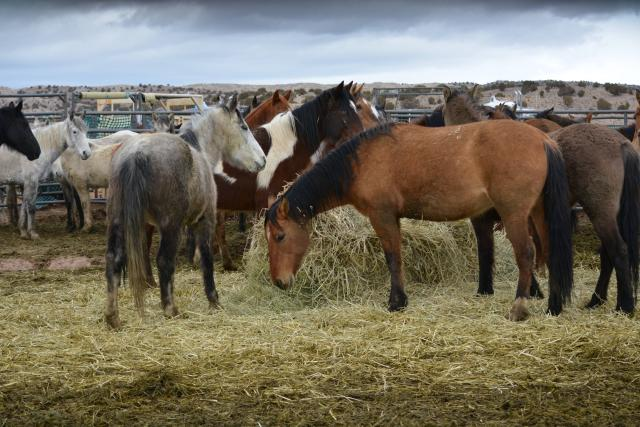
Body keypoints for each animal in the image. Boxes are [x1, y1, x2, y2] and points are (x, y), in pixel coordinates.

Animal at [104, 95, 266, 329]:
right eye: (243, 127)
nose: (262, 160)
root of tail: (136, 154)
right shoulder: (204, 220)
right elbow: (206, 259)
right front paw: (214, 300)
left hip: (118, 222)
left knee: (114, 261)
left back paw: (113, 317)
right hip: (170, 226)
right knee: (163, 260)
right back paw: (171, 309)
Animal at [265, 121, 573, 320]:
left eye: (280, 236)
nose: (278, 282)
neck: (362, 161)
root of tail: (543, 140)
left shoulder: (383, 217)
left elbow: (393, 258)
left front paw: (396, 302)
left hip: (514, 214)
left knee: (527, 254)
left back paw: (519, 307)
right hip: (538, 213)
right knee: (550, 252)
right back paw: (554, 307)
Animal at [443, 86, 640, 314]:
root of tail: (621, 143)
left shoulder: (485, 219)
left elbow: (487, 252)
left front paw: (487, 290)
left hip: (600, 212)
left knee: (618, 251)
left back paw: (624, 306)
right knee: (608, 255)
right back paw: (597, 301)